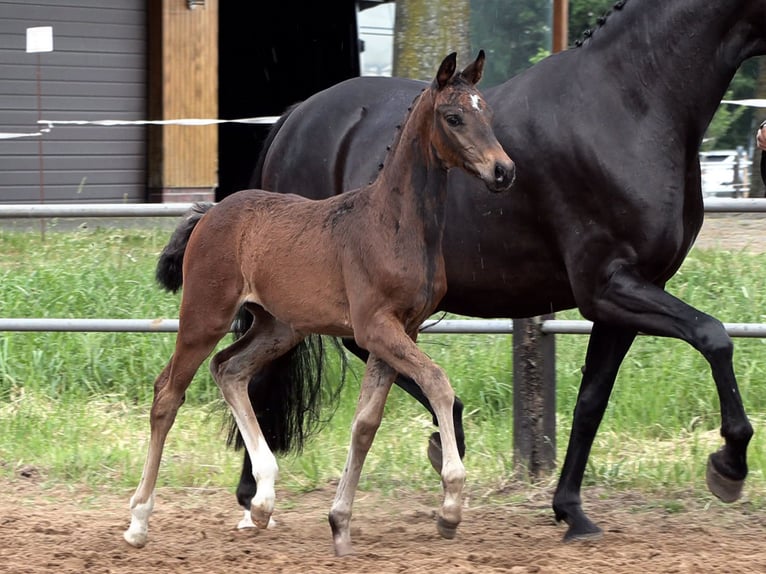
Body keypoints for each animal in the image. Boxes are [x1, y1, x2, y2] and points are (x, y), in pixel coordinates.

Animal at [124, 50, 516, 560]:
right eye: (453, 117)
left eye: (485, 112)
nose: (504, 171)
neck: (393, 224)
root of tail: (210, 212)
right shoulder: (374, 328)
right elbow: (437, 383)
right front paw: (450, 504)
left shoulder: (401, 330)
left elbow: (366, 423)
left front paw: (340, 523)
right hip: (204, 315)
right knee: (168, 393)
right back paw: (139, 520)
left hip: (280, 327)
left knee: (229, 369)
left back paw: (263, 501)